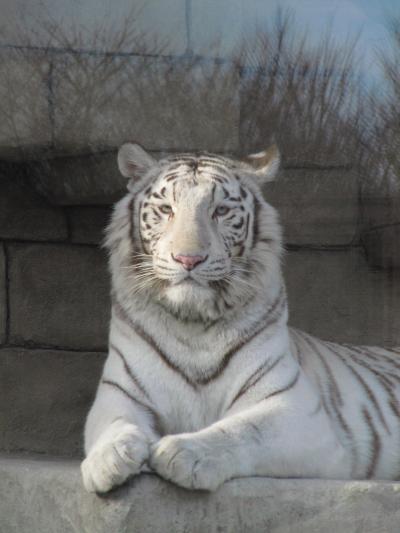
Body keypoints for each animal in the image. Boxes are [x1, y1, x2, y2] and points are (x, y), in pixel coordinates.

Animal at [80, 140, 400, 490]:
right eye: (166, 209)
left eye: (220, 211)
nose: (188, 259)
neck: (192, 323)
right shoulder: (119, 394)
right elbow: (114, 424)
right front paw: (111, 458)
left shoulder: (295, 409)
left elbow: (242, 430)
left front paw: (182, 453)